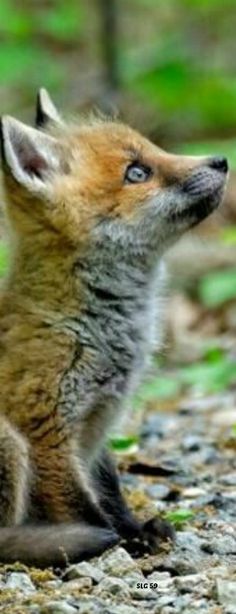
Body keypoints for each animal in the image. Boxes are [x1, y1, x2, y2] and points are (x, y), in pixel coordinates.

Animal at [0, 90, 228, 568]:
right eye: (137, 172)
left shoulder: (100, 425)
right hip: (9, 443)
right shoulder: (45, 431)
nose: (221, 160)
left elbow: (110, 493)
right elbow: (84, 508)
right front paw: (123, 543)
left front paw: (137, 530)